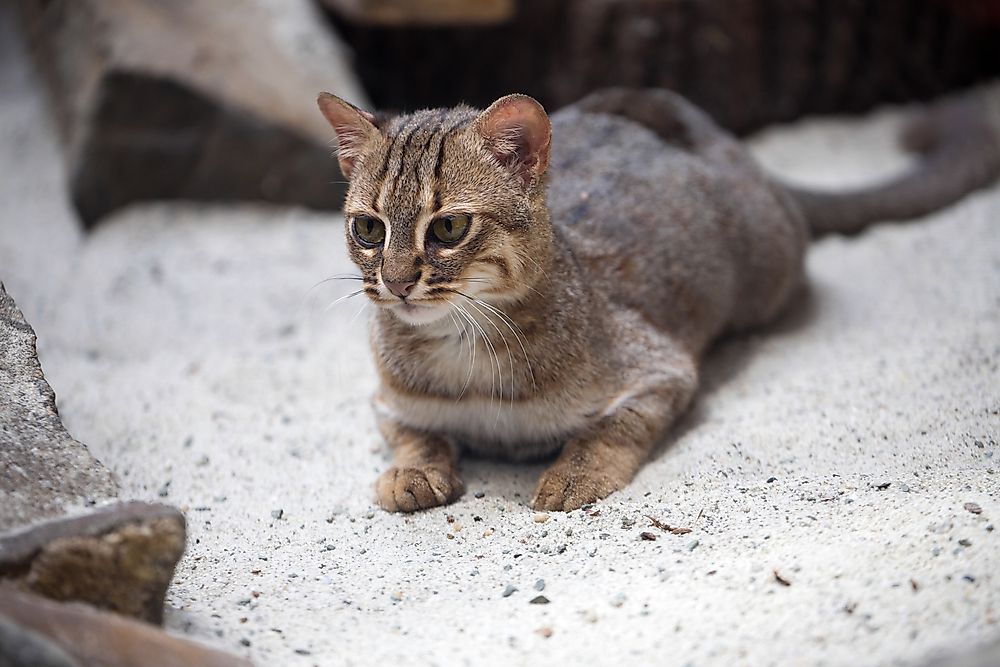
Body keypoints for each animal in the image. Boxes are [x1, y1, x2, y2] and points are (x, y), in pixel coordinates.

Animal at [316, 85, 996, 512]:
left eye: (450, 228)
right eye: (368, 229)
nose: (395, 282)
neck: (464, 354)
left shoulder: (662, 372)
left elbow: (612, 429)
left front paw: (577, 471)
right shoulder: (386, 400)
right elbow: (414, 433)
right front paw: (412, 470)